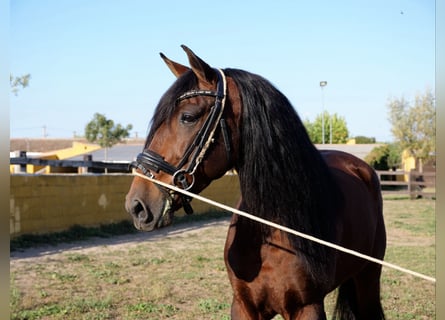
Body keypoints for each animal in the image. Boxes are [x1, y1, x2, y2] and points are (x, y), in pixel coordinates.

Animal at [125, 45, 386, 320]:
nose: (137, 206)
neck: (272, 230)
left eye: (188, 117)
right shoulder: (243, 306)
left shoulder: (308, 308)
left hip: (368, 279)